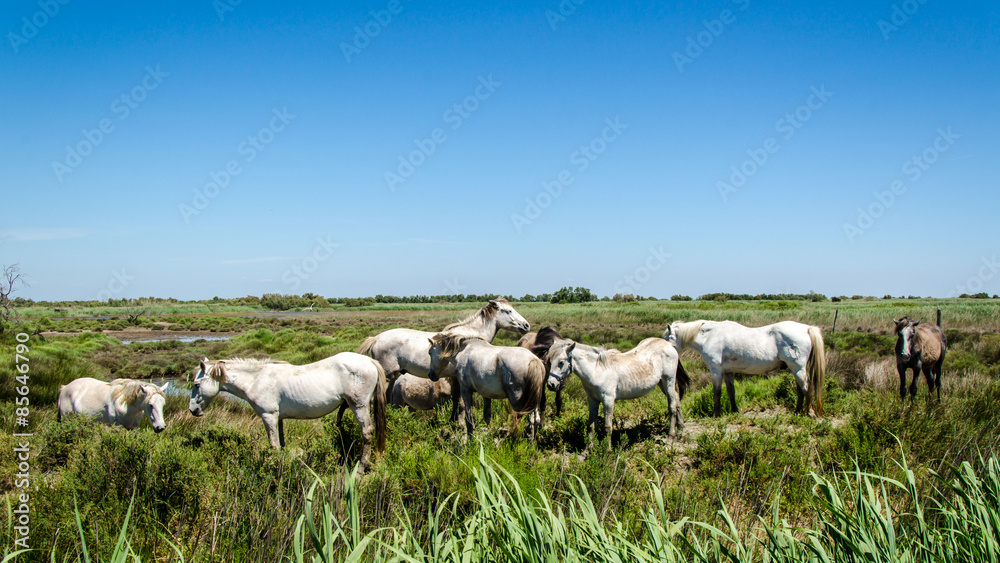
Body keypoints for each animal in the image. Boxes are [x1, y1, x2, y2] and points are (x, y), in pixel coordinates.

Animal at [189, 354, 387, 470]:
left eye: (196, 384)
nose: (193, 410)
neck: (256, 379)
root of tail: (369, 361)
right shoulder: (279, 418)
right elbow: (282, 443)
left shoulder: (268, 416)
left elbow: (274, 445)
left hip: (358, 406)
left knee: (367, 433)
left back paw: (361, 468)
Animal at [545, 337, 689, 439]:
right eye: (550, 361)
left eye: (561, 362)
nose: (551, 385)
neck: (597, 369)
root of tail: (668, 345)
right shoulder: (592, 400)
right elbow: (591, 426)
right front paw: (587, 451)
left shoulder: (608, 400)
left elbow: (607, 427)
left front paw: (607, 452)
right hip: (661, 383)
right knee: (677, 399)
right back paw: (680, 430)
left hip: (668, 380)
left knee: (672, 405)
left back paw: (671, 436)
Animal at [664, 320, 826, 417]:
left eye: (667, 338)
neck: (708, 336)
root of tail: (807, 328)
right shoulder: (728, 372)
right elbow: (731, 392)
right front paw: (734, 411)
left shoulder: (716, 370)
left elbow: (717, 392)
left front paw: (716, 413)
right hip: (795, 369)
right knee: (800, 390)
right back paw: (797, 412)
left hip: (798, 368)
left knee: (806, 388)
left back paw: (810, 413)